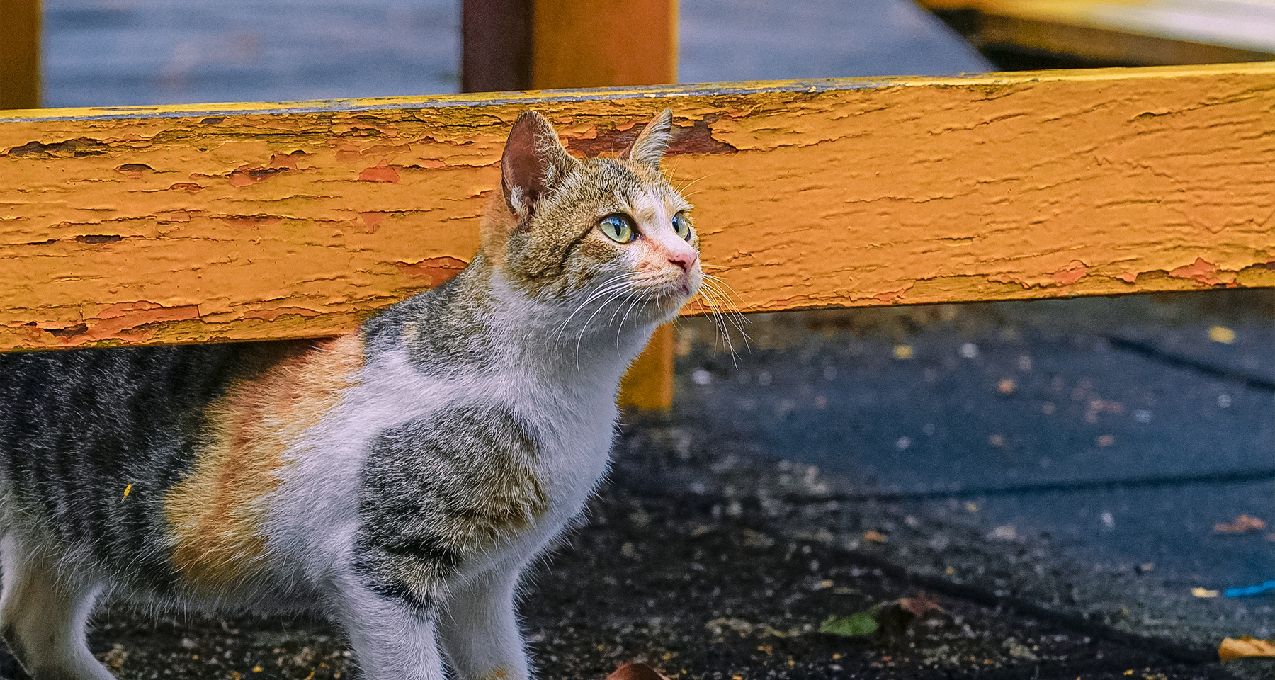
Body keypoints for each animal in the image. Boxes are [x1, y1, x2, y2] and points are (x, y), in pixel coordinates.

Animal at [0, 111, 698, 678]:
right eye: (617, 228)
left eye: (681, 222)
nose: (687, 258)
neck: (565, 386)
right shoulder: (378, 573)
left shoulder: (485, 583)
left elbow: (501, 666)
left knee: (33, 623)